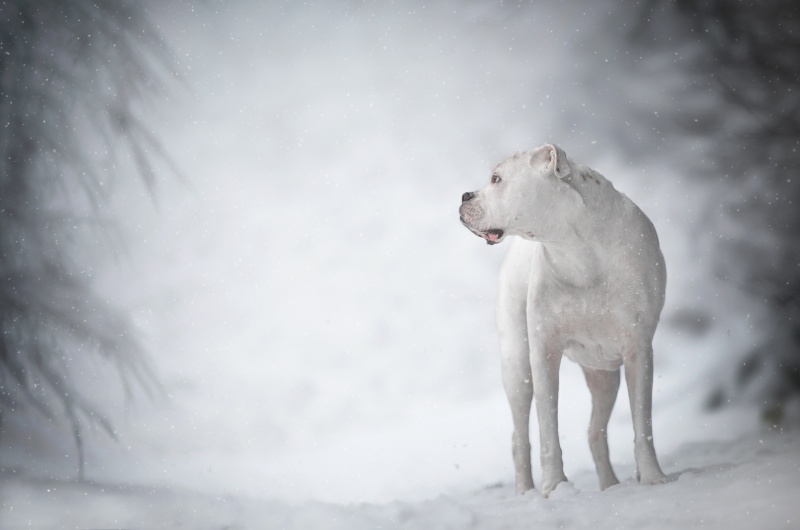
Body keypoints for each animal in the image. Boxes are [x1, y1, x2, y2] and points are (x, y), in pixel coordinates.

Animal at [460, 141, 664, 496]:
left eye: (496, 179)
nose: (464, 196)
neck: (577, 251)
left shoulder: (639, 351)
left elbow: (643, 423)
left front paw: (653, 477)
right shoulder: (543, 353)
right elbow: (547, 430)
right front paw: (554, 487)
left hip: (604, 375)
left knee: (596, 431)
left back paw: (610, 486)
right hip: (517, 367)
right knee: (520, 436)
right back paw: (525, 492)